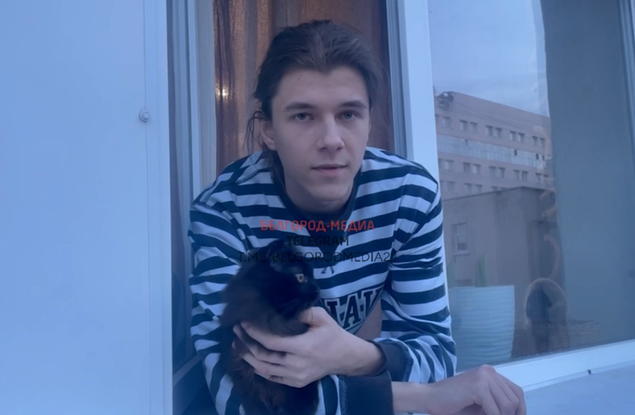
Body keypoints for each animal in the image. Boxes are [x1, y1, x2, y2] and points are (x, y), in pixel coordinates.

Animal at [219, 239, 322, 415]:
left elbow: (302, 405)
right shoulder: (246, 380)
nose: (317, 290)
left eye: (313, 275)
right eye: (300, 277)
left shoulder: (300, 383)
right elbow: (256, 407)